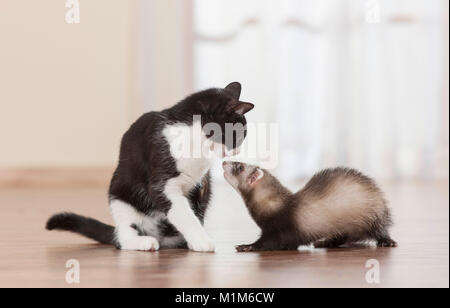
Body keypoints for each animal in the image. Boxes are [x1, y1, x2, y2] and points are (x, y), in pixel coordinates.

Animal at [48, 82, 256, 253]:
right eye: (239, 135)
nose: (237, 150)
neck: (196, 143)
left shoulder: (202, 184)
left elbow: (197, 212)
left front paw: (196, 239)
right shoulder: (162, 183)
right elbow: (183, 213)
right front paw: (202, 241)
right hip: (120, 197)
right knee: (123, 236)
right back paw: (142, 242)